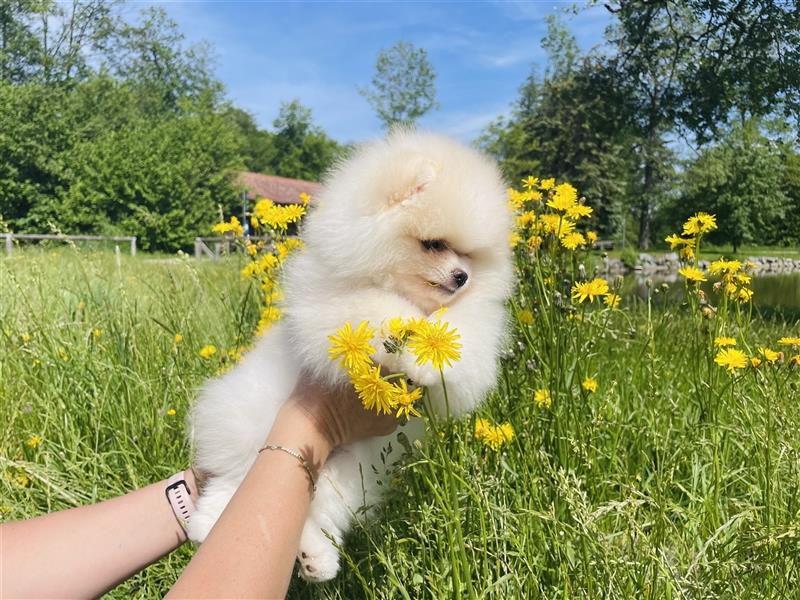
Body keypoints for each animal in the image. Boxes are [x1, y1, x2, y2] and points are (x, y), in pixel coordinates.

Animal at [187, 130, 512, 580]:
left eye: (470, 255)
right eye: (433, 244)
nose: (462, 277)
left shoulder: (476, 333)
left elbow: (462, 342)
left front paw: (428, 353)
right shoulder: (332, 305)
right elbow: (378, 308)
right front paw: (411, 334)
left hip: (351, 472)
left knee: (315, 510)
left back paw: (315, 558)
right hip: (248, 421)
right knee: (232, 478)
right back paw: (206, 523)